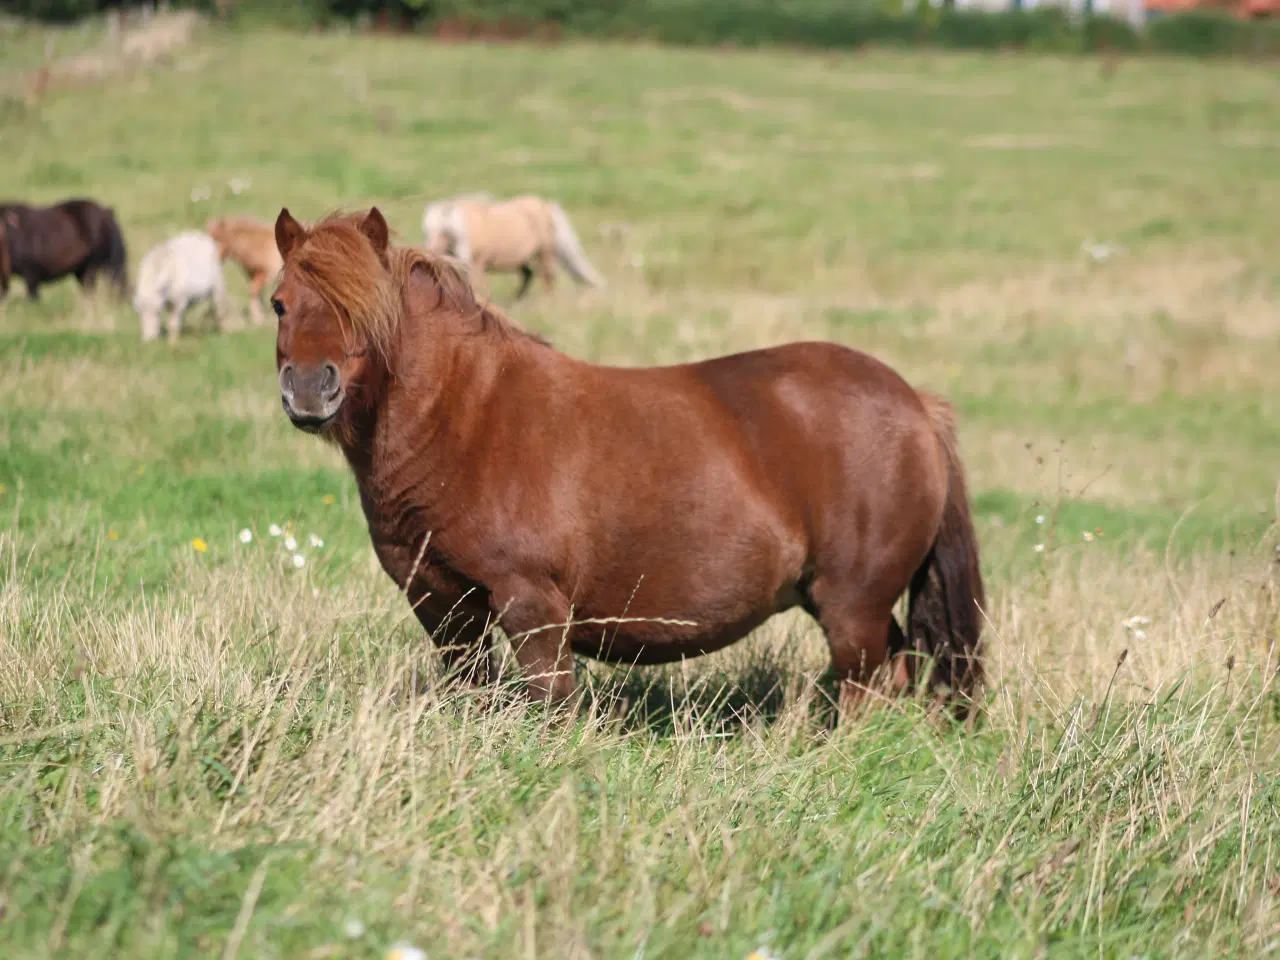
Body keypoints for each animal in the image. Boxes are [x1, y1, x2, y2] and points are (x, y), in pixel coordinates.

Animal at [272, 209, 988, 721]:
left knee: (868, 685)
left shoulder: (533, 608)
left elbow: (549, 708)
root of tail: (915, 403)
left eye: (364, 306)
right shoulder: (442, 606)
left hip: (852, 604)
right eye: (279, 302)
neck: (469, 417)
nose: (308, 389)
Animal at [417, 193, 601, 300]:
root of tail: (546, 206)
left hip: (544, 252)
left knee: (548, 276)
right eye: (427, 230)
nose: (430, 252)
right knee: (529, 275)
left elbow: (474, 287)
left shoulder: (477, 263)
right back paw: (517, 301)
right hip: (524, 258)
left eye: (444, 231)